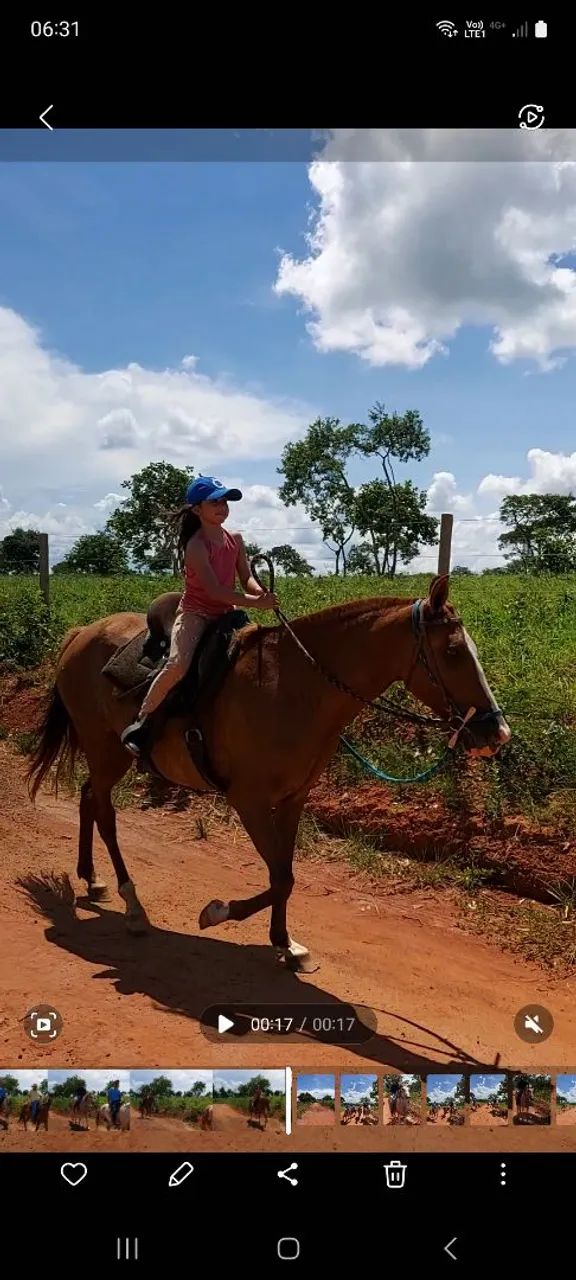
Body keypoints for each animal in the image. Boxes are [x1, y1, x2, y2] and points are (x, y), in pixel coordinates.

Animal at [26, 576, 510, 970]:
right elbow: (281, 877)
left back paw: (93, 880)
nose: (497, 731)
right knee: (105, 813)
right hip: (108, 751)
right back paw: (132, 907)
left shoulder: (294, 799)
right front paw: (218, 913)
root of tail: (81, 634)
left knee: (88, 797)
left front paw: (284, 942)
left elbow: (285, 875)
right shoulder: (249, 800)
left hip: (104, 757)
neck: (293, 687)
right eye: (453, 651)